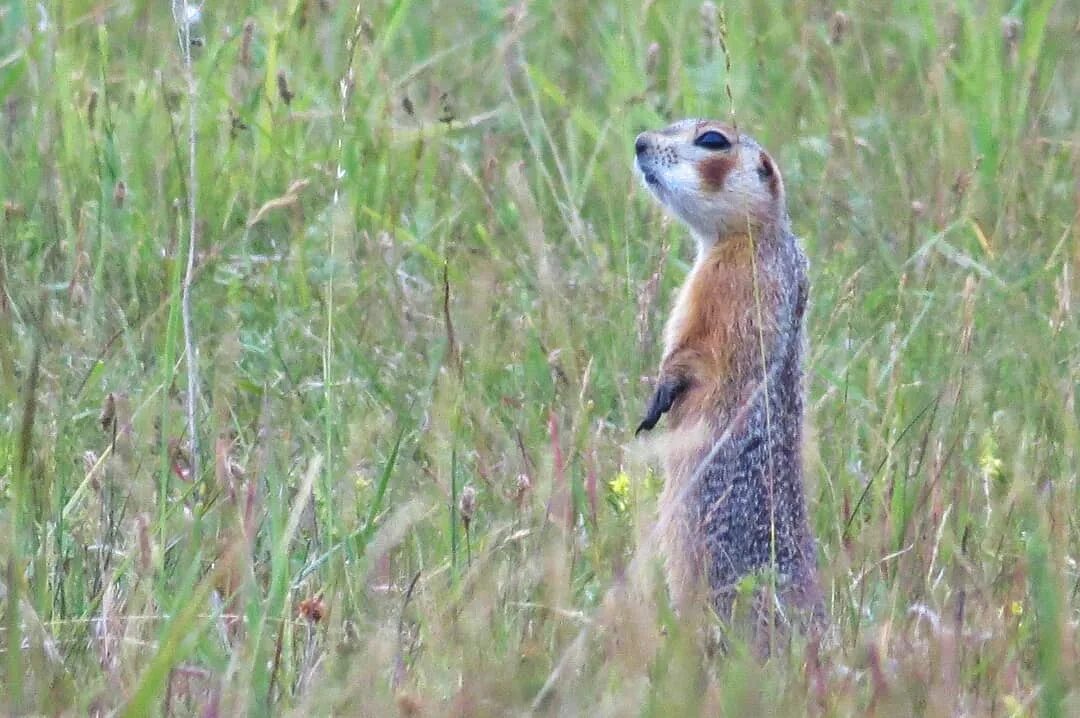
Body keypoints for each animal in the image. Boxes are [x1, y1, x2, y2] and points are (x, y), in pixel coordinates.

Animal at [630, 117, 816, 626]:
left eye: (712, 139)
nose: (639, 142)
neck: (755, 236)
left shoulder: (727, 286)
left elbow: (698, 347)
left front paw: (660, 394)